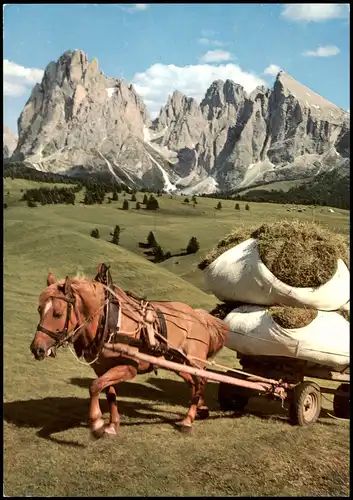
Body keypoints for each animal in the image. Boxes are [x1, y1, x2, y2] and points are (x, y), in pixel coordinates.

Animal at [30, 266, 228, 438]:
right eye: (39, 309)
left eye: (57, 313)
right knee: (193, 382)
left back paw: (188, 419)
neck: (108, 320)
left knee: (201, 381)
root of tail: (199, 316)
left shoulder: (129, 367)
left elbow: (94, 386)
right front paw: (112, 424)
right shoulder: (102, 368)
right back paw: (201, 408)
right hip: (177, 361)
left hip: (195, 361)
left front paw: (97, 423)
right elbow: (108, 392)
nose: (37, 349)